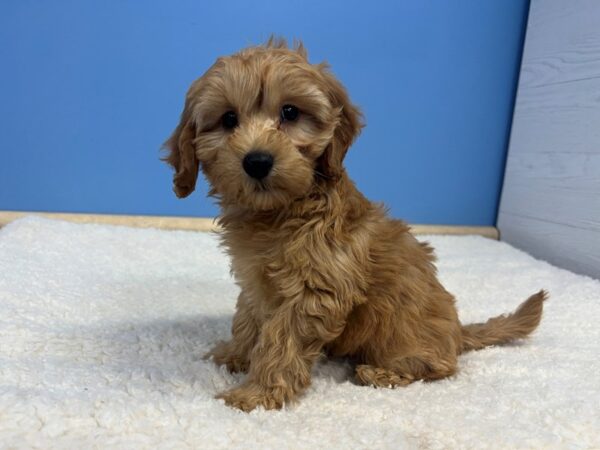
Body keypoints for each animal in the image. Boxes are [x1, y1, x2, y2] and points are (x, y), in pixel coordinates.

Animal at [162, 38, 548, 412]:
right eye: (228, 119)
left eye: (290, 112)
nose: (257, 161)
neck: (277, 212)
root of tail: (458, 333)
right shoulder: (256, 282)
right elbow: (248, 319)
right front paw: (235, 355)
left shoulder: (315, 291)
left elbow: (281, 343)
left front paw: (256, 394)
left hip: (408, 340)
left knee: (440, 367)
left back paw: (382, 373)